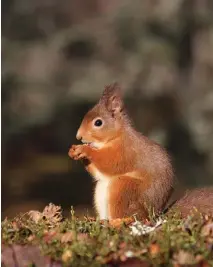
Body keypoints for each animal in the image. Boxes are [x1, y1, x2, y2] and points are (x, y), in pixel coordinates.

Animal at [68, 85, 213, 221]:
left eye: (98, 122)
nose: (79, 136)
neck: (116, 136)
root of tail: (154, 215)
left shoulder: (126, 151)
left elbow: (111, 163)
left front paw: (85, 150)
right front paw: (74, 151)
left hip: (124, 188)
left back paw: (119, 222)